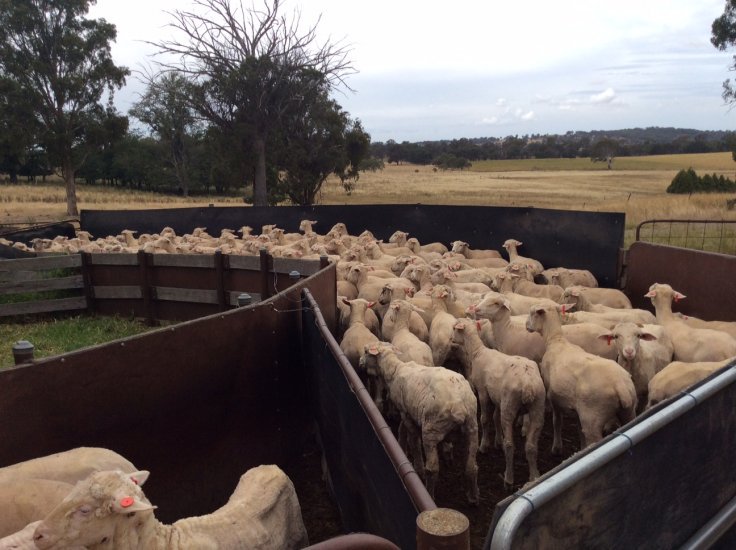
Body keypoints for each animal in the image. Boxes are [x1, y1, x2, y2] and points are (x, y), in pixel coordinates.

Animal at [359, 343, 479, 504]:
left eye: (366, 351)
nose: (360, 362)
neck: (395, 369)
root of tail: (460, 406)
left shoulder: (406, 414)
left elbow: (414, 442)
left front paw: (417, 467)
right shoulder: (406, 411)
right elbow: (402, 430)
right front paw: (401, 446)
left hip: (431, 430)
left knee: (433, 469)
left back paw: (430, 492)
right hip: (472, 428)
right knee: (471, 466)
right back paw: (473, 497)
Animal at [450, 318, 545, 488]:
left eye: (455, 328)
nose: (451, 340)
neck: (477, 351)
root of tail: (527, 384)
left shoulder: (483, 392)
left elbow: (485, 419)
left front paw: (484, 446)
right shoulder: (496, 397)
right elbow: (495, 418)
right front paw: (497, 441)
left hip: (509, 405)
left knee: (510, 445)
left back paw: (508, 478)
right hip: (538, 407)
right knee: (531, 446)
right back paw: (534, 476)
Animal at [525, 303, 638, 453]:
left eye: (532, 313)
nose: (526, 325)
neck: (556, 340)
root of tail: (620, 387)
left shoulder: (553, 396)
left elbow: (557, 421)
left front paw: (556, 447)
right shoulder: (579, 409)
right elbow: (579, 429)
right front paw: (581, 446)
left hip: (593, 416)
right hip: (628, 411)